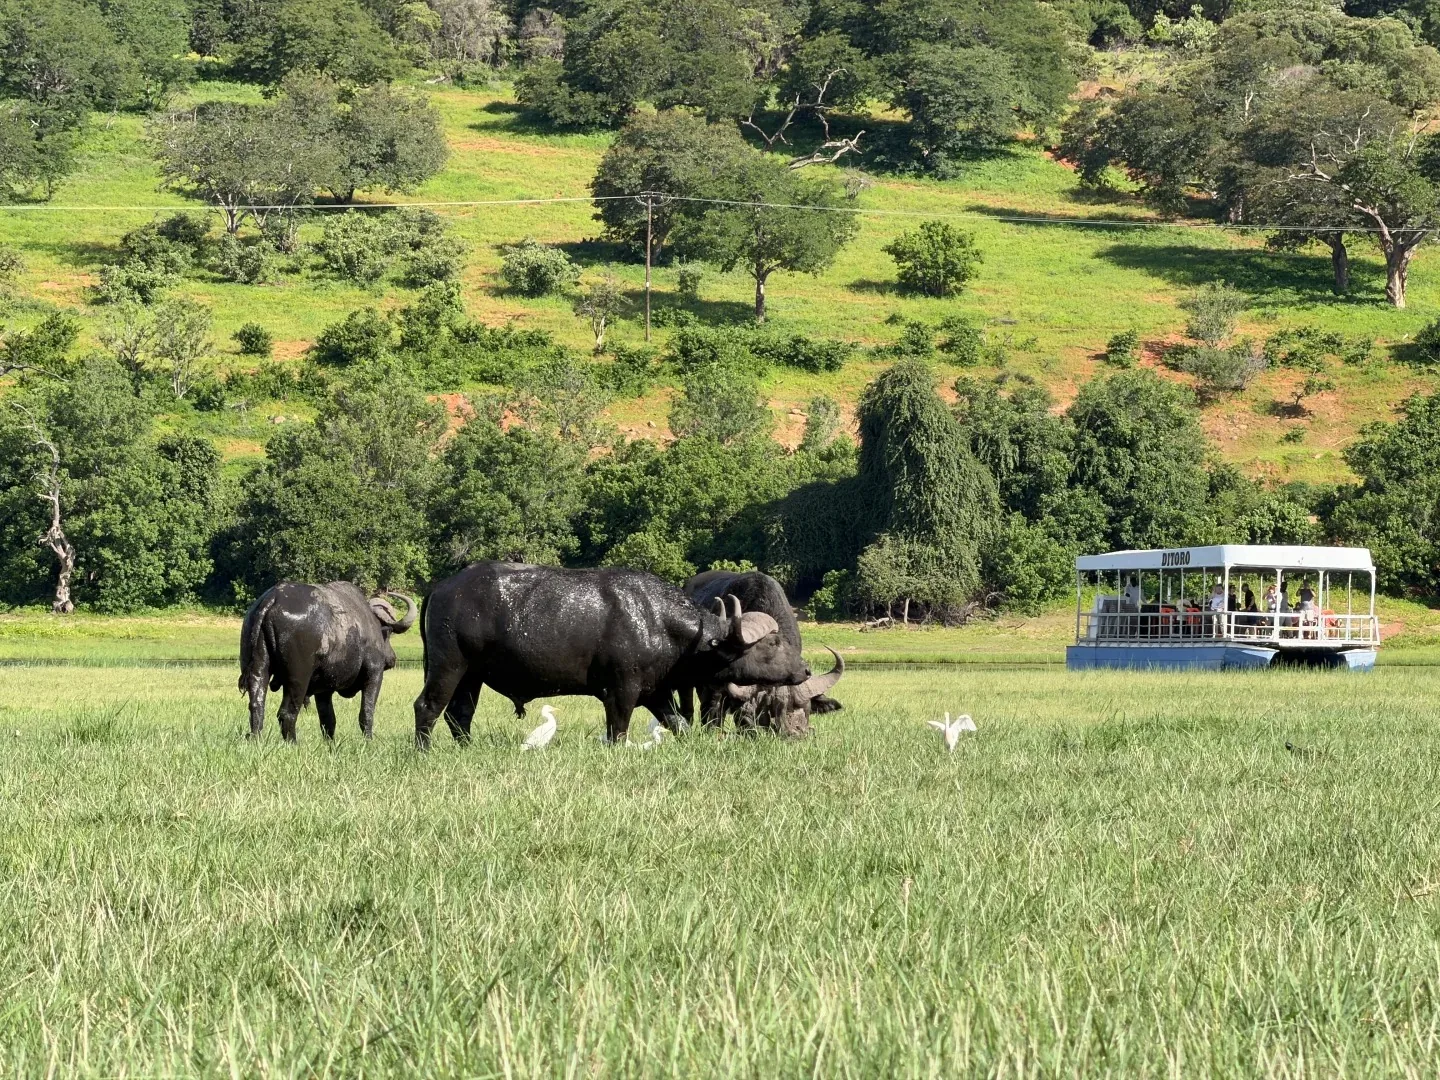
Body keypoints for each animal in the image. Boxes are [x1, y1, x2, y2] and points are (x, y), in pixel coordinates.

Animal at [239, 582, 417, 741]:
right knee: (287, 713)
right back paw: (293, 743)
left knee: (257, 704)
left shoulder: (323, 690)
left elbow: (328, 719)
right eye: (389, 634)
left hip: (259, 666)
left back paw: (256, 739)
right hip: (298, 679)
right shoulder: (374, 674)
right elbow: (366, 713)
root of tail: (273, 598)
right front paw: (369, 741)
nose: (392, 659)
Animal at [412, 561, 808, 747]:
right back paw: (424, 751)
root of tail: (442, 589)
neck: (659, 622)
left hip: (472, 676)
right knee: (428, 707)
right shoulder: (621, 693)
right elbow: (618, 731)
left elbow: (679, 725)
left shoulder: (657, 693)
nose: (804, 669)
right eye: (772, 644)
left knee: (460, 714)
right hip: (449, 666)